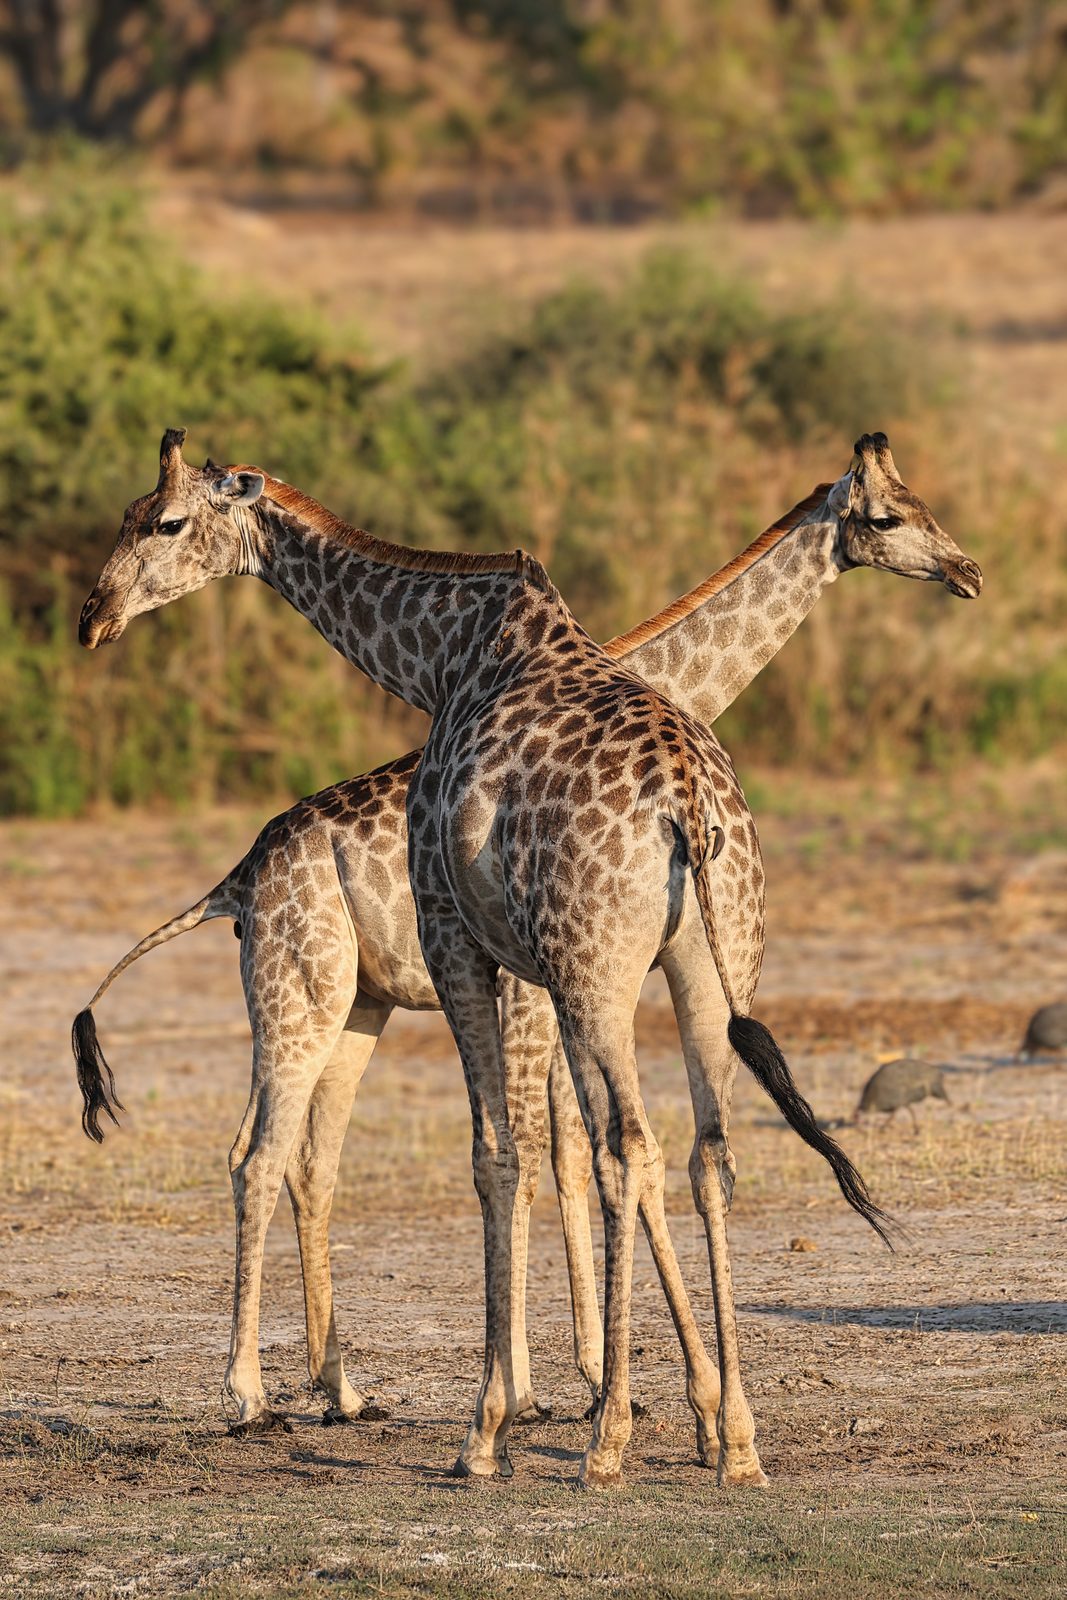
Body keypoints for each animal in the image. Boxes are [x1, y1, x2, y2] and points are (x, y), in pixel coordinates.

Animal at [76, 430, 979, 1486]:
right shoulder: (543, 980)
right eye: (890, 514)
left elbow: (521, 1155)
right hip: (329, 993)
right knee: (280, 1155)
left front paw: (529, 1409)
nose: (94, 616)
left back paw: (320, 1395)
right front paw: (621, 1395)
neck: (442, 658)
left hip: (359, 1002)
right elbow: (562, 1158)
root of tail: (238, 876)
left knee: (302, 1158)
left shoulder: (486, 953)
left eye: (165, 522)